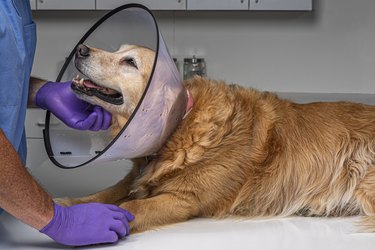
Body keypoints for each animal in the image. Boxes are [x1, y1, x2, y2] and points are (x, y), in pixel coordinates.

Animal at [58, 43, 375, 234]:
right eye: (118, 50)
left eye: (129, 61)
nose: (81, 49)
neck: (180, 125)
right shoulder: (133, 179)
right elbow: (101, 194)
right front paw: (70, 208)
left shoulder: (183, 199)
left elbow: (131, 207)